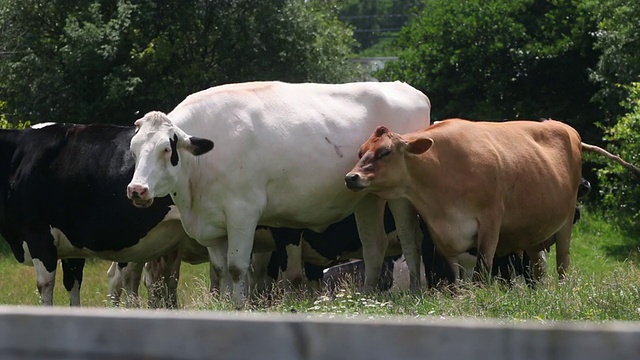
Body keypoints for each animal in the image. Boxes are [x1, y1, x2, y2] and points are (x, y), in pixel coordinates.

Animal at [125, 81, 430, 304]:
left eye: (167, 149)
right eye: (134, 150)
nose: (136, 189)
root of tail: (403, 86)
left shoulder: (243, 212)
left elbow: (237, 268)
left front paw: (239, 305)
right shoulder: (212, 224)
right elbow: (221, 271)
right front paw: (224, 304)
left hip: (399, 196)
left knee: (409, 239)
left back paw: (415, 289)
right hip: (367, 196)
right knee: (373, 245)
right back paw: (367, 296)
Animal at [344, 119, 640, 282]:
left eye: (385, 152)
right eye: (360, 151)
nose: (351, 177)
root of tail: (570, 132)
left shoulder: (490, 222)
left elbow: (481, 271)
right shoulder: (440, 235)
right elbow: (453, 277)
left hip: (566, 221)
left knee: (562, 265)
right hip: (532, 232)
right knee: (535, 269)